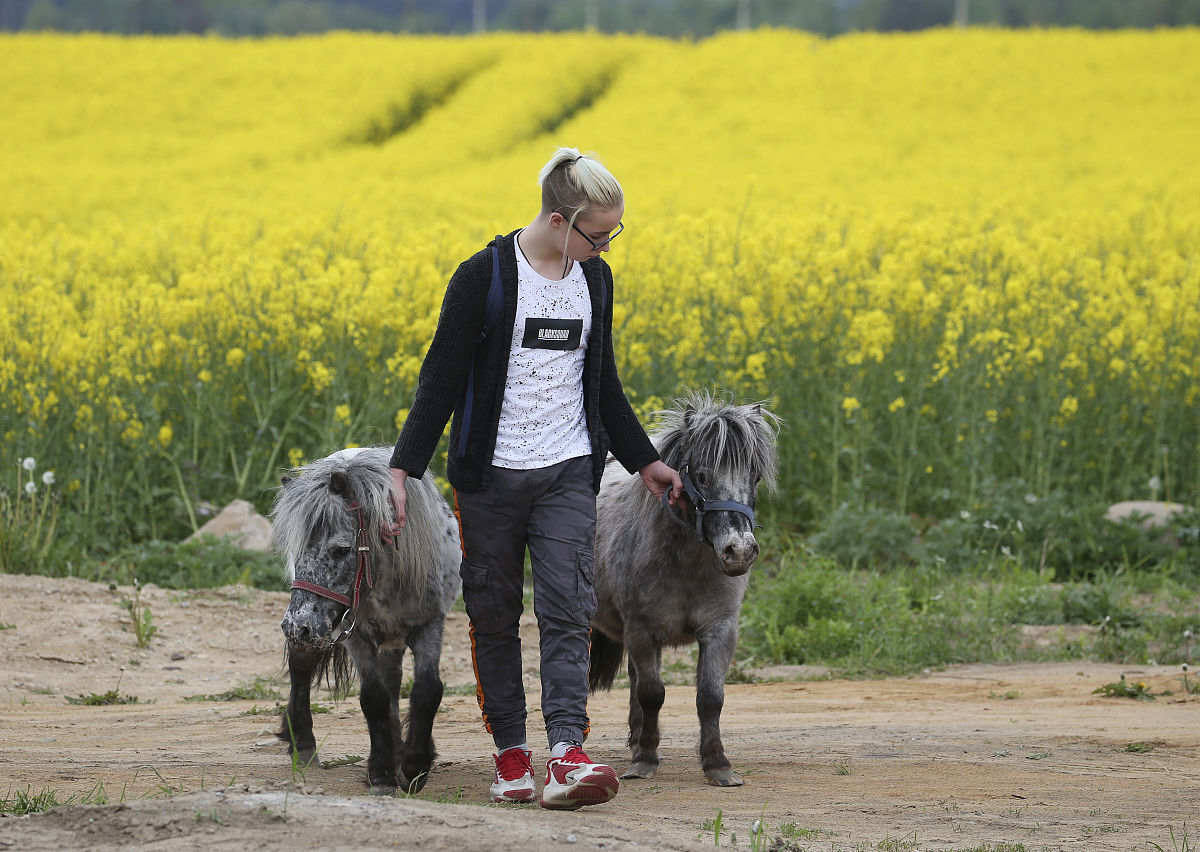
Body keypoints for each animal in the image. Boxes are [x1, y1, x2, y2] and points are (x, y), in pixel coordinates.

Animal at [272, 446, 461, 795]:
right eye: (297, 549)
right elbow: (373, 698)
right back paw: (303, 743)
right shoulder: (356, 634)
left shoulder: (429, 625)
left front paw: (413, 766)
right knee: (301, 667)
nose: (298, 626)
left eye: (341, 550)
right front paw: (383, 774)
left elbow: (427, 691)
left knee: (393, 678)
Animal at [589, 391, 779, 787]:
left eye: (754, 477)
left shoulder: (720, 630)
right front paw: (645, 761)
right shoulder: (642, 631)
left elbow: (710, 697)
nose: (739, 551)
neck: (687, 566)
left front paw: (718, 764)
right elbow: (652, 694)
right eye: (703, 476)